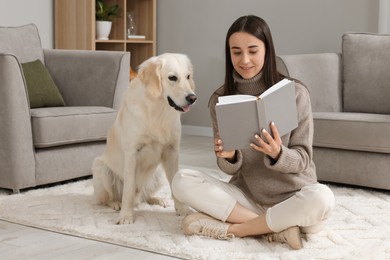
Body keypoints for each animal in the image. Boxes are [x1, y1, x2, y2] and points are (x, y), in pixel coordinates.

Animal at [90, 52, 195, 223]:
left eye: (188, 76)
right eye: (172, 78)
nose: (192, 98)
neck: (158, 110)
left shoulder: (172, 152)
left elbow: (175, 184)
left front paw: (182, 209)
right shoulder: (132, 154)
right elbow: (128, 189)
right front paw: (126, 216)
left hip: (158, 173)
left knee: (144, 195)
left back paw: (156, 199)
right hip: (101, 168)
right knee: (107, 198)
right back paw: (116, 204)